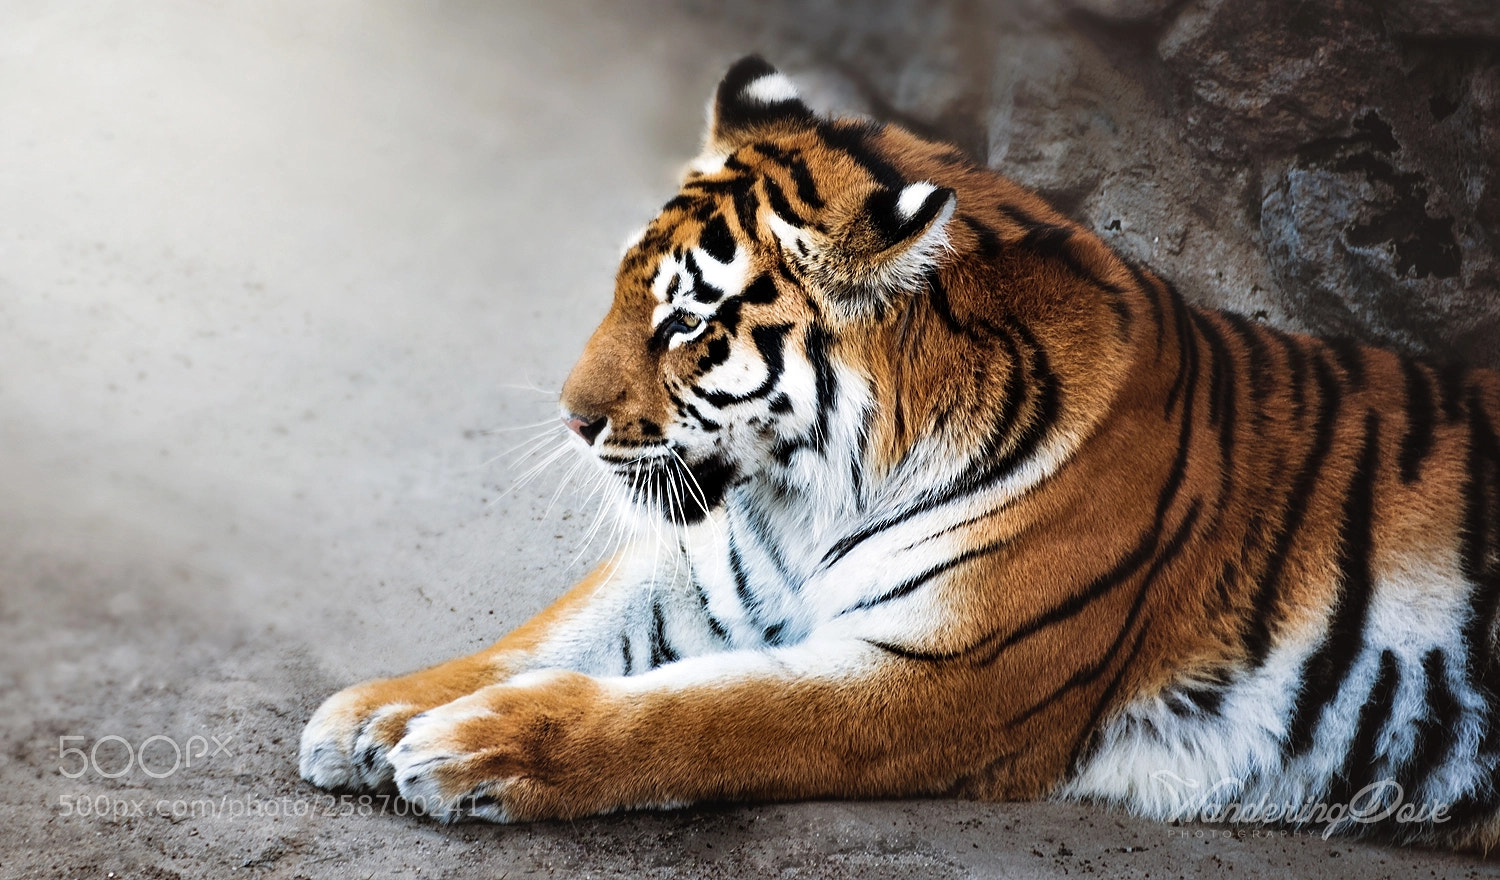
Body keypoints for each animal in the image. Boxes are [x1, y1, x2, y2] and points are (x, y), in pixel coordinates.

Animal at [299, 55, 1500, 850]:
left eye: (686, 323)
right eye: (623, 290)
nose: (572, 419)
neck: (805, 495)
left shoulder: (939, 678)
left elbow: (703, 712)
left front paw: (473, 748)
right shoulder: (709, 572)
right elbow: (547, 633)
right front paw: (374, 713)